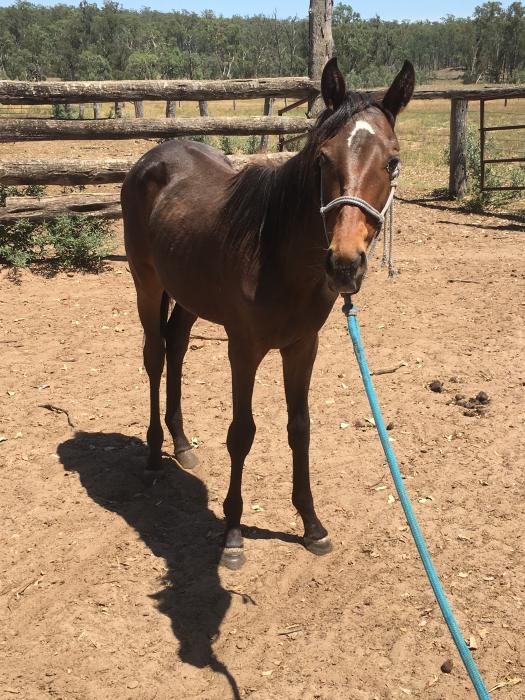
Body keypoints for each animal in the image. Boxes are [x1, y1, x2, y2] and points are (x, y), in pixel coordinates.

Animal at [122, 57, 415, 569]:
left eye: (392, 161)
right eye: (322, 158)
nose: (344, 263)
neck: (278, 254)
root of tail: (150, 160)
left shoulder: (302, 347)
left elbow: (300, 428)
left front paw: (312, 525)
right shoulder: (244, 349)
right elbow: (242, 433)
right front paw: (233, 534)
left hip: (189, 296)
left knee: (177, 345)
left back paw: (183, 445)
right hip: (148, 284)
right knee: (155, 356)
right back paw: (156, 455)